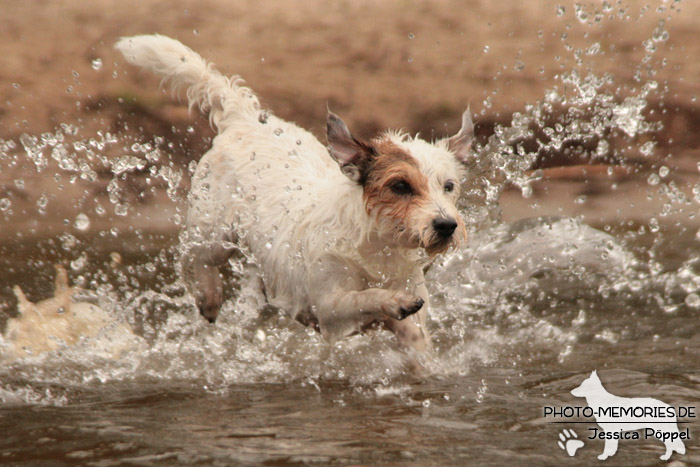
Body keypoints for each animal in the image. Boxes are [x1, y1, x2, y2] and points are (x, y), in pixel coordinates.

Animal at [116, 35, 476, 352]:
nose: (447, 226)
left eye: (449, 186)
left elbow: (416, 344)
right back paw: (209, 297)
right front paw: (392, 301)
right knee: (194, 261)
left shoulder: (409, 312)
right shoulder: (330, 307)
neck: (376, 247)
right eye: (400, 186)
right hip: (211, 233)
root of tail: (244, 118)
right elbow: (363, 297)